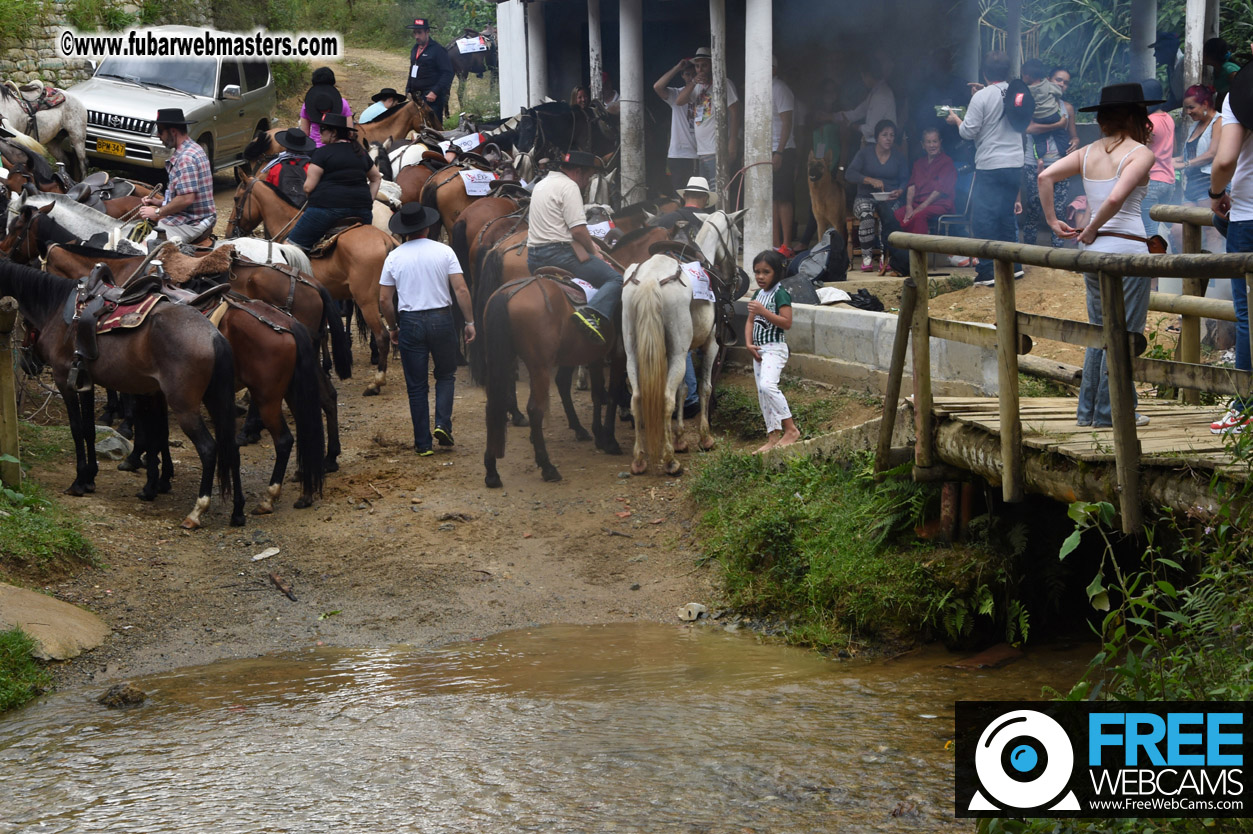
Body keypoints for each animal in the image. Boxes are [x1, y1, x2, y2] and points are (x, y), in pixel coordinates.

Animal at [0, 257, 241, 525]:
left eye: (23, 322)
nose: (27, 365)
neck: (57, 309)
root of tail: (213, 335)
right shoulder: (86, 381)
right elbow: (89, 430)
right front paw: (90, 478)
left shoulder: (65, 380)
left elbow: (76, 429)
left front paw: (78, 482)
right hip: (215, 398)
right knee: (231, 446)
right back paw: (237, 512)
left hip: (185, 406)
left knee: (209, 449)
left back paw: (197, 511)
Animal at [228, 170, 395, 395]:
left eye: (237, 198)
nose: (230, 233)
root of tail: (386, 240)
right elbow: (323, 331)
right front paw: (327, 366)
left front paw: (325, 367)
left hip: (366, 299)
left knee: (382, 335)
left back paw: (376, 382)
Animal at [618, 206, 741, 473]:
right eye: (738, 235)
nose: (735, 277)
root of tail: (651, 280)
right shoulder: (709, 345)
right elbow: (704, 387)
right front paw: (704, 437)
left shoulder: (685, 351)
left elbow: (683, 390)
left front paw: (681, 438)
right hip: (675, 352)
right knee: (665, 398)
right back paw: (669, 460)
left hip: (634, 353)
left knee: (637, 397)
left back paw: (639, 459)